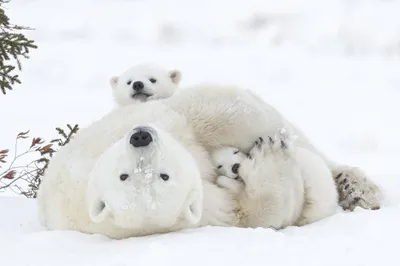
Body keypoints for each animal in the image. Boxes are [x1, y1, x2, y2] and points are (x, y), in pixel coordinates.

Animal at [36, 83, 382, 239]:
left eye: (162, 174)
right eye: (126, 176)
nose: (141, 137)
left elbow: (212, 112)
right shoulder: (202, 212)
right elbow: (251, 212)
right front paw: (268, 157)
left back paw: (358, 187)